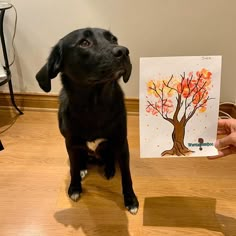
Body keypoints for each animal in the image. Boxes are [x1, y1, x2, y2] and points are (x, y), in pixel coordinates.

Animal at [35, 27, 138, 214]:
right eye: (84, 42)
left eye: (114, 39)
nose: (124, 51)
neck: (94, 105)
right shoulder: (71, 143)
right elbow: (73, 168)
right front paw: (75, 188)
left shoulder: (121, 142)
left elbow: (127, 175)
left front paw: (131, 200)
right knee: (79, 161)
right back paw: (84, 167)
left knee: (109, 157)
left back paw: (109, 168)